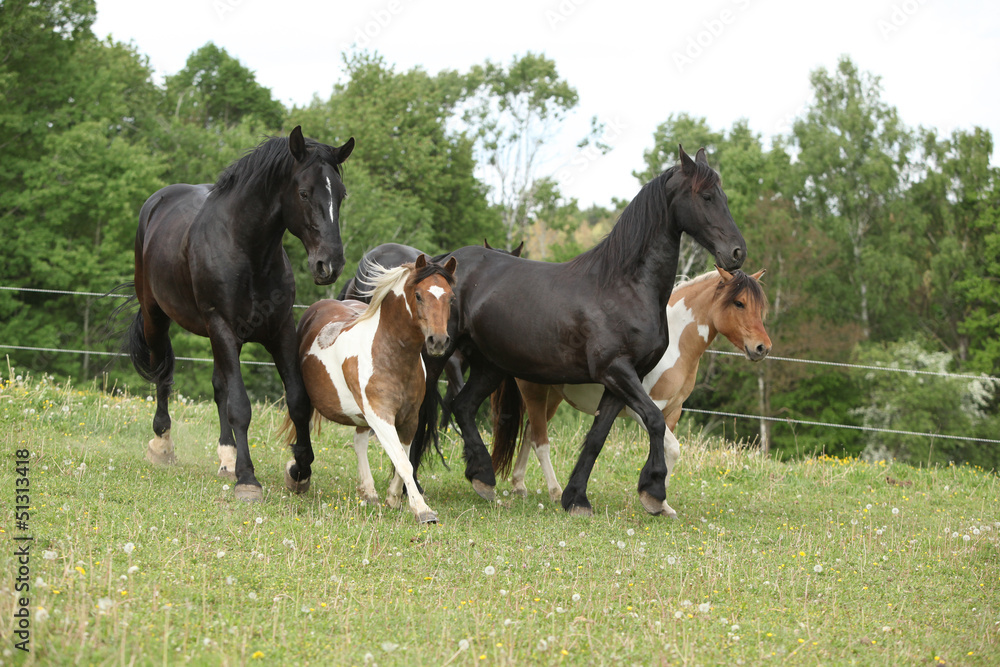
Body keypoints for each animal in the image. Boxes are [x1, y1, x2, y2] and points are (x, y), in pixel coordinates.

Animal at [122, 126, 356, 500]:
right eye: (304, 193)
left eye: (341, 194)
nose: (329, 264)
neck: (247, 252)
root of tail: (157, 202)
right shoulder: (223, 328)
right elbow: (240, 406)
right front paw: (247, 479)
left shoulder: (279, 331)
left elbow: (297, 400)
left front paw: (299, 469)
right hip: (156, 317)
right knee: (163, 373)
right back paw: (162, 446)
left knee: (219, 386)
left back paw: (226, 457)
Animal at [286, 254, 458, 520]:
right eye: (418, 295)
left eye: (450, 298)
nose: (438, 341)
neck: (391, 355)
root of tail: (318, 307)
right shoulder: (380, 415)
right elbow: (402, 461)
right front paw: (422, 510)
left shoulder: (409, 418)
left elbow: (405, 459)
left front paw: (394, 498)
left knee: (359, 443)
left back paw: (369, 492)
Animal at [496, 266, 768, 516]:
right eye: (739, 303)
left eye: (760, 308)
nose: (762, 347)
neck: (675, 344)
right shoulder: (641, 410)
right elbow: (672, 448)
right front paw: (655, 499)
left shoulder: (673, 411)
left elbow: (668, 452)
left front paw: (660, 503)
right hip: (534, 391)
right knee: (540, 441)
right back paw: (554, 491)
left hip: (552, 397)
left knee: (529, 431)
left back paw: (519, 485)